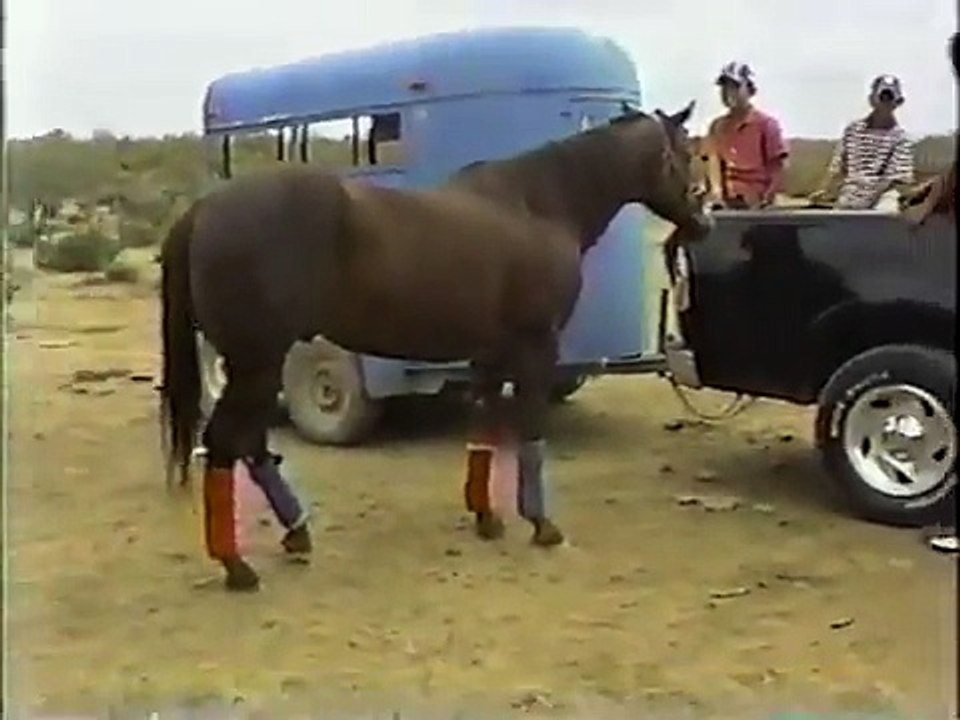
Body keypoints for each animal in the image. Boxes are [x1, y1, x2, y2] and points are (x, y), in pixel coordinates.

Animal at [160, 101, 710, 591]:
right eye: (686, 152)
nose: (703, 223)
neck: (537, 205)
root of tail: (204, 210)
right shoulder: (535, 346)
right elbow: (529, 432)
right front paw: (541, 525)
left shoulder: (490, 354)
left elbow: (483, 430)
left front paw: (487, 518)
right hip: (259, 362)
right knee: (226, 444)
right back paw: (238, 567)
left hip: (253, 364)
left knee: (249, 444)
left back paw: (296, 534)